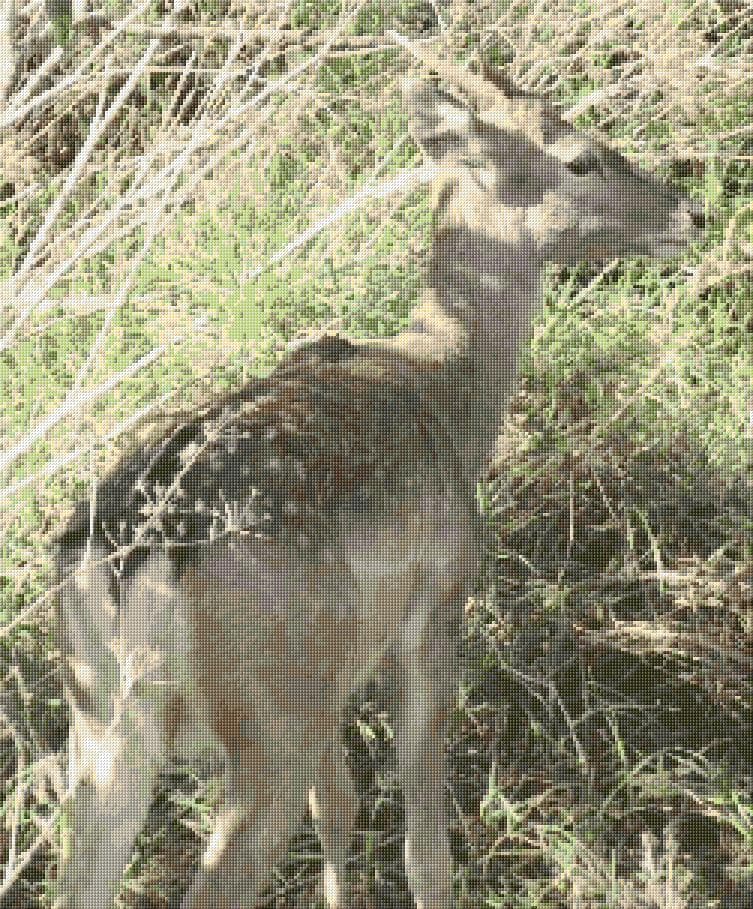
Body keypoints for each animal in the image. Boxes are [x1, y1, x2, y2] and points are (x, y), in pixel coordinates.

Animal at [52, 40, 705, 909]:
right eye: (580, 157)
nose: (689, 214)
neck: (443, 387)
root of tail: (135, 558)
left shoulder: (338, 676)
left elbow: (341, 803)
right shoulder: (435, 603)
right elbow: (422, 833)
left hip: (104, 725)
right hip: (269, 715)